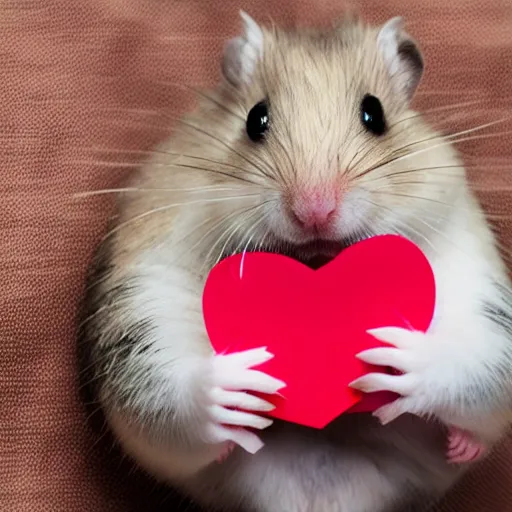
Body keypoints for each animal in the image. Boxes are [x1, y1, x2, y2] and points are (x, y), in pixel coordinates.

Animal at [78, 11, 512, 512]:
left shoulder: (478, 291)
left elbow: (471, 360)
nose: (314, 212)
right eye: (255, 119)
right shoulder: (144, 301)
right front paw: (240, 382)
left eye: (375, 114)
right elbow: (170, 388)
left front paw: (393, 354)